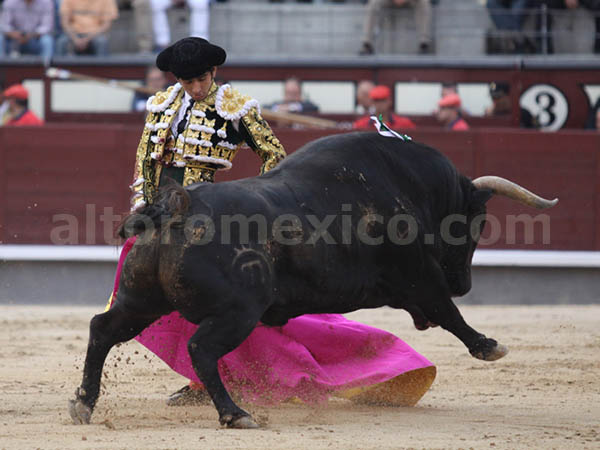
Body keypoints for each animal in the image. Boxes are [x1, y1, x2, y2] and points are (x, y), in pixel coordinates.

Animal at [69, 132, 558, 429]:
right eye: (476, 222)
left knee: (103, 329)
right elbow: (448, 312)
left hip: (142, 301)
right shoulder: (419, 275)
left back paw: (83, 403)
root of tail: (179, 208)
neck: (409, 184)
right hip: (237, 312)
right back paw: (235, 414)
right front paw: (489, 346)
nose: (465, 284)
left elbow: (439, 310)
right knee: (201, 350)